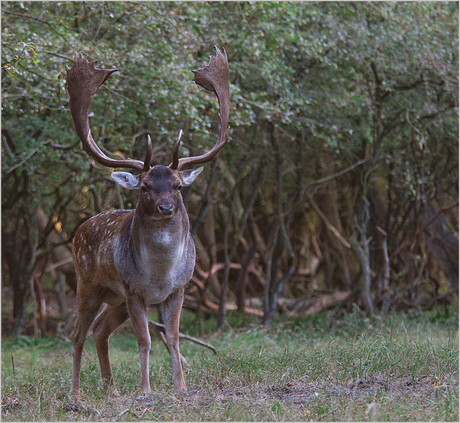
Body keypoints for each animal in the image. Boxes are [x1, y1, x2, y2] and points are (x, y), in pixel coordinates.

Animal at [65, 47, 229, 400]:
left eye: (178, 185)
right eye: (144, 187)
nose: (166, 207)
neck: (159, 274)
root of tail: (79, 230)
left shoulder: (178, 289)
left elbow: (174, 339)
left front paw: (181, 387)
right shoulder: (133, 289)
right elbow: (145, 340)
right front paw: (145, 389)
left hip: (115, 299)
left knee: (99, 330)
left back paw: (111, 388)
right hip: (89, 284)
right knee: (78, 333)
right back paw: (75, 393)